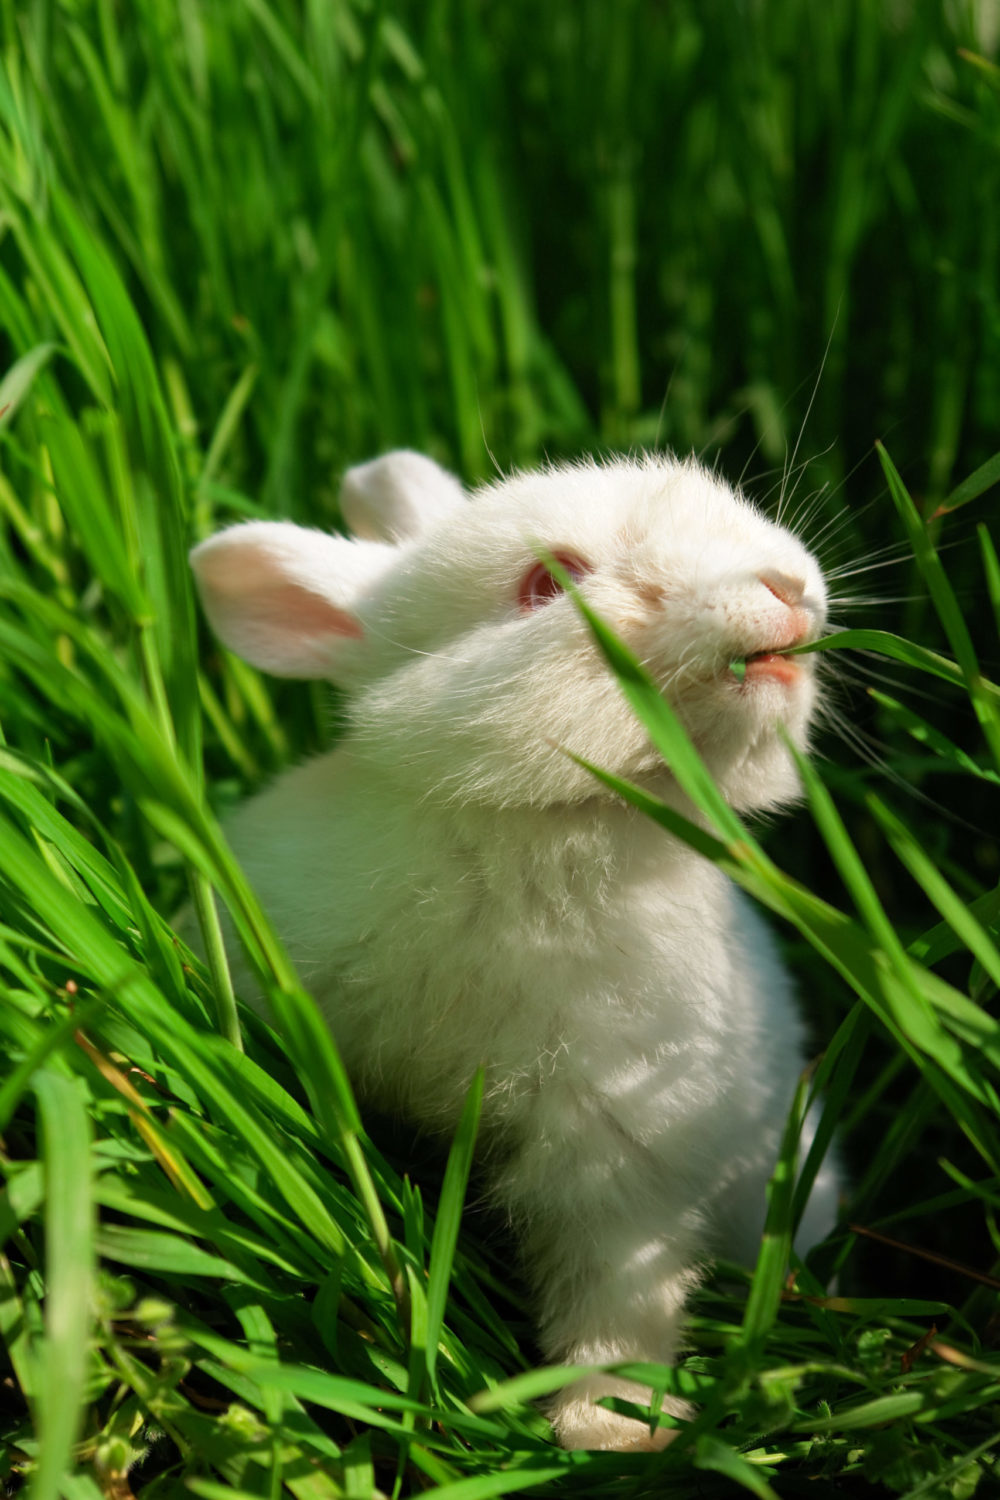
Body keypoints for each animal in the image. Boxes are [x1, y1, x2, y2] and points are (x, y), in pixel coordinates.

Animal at [189, 449, 840, 1452]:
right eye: (551, 583)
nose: (789, 587)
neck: (531, 823)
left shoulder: (617, 1150)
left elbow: (618, 1298)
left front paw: (609, 1432)